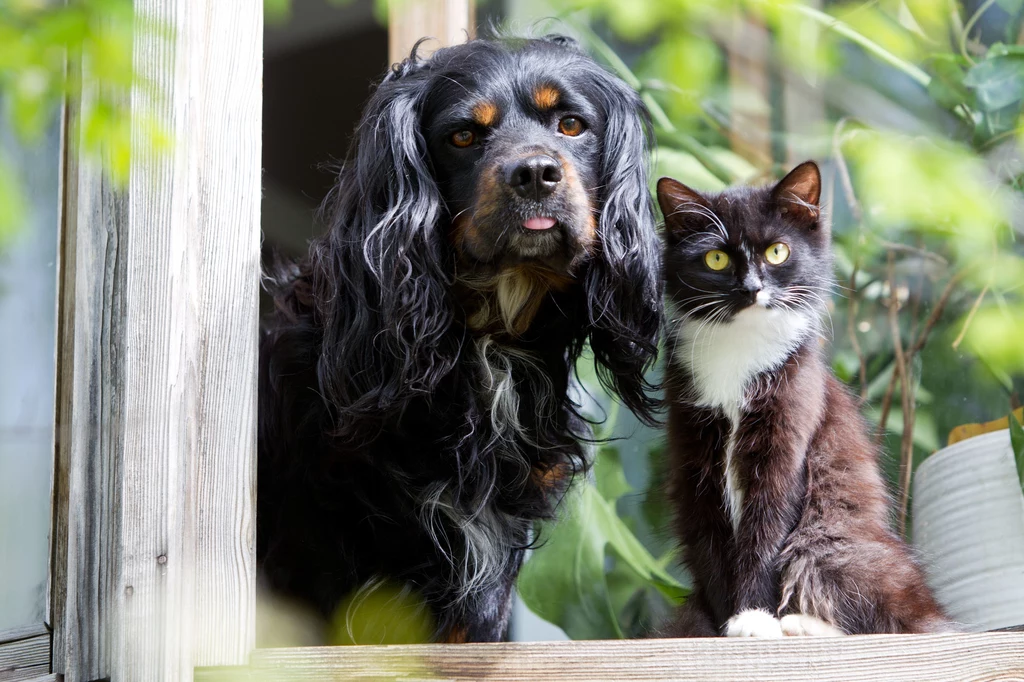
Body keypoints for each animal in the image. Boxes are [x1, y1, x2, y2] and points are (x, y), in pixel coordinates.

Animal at [655, 161, 950, 634]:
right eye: (716, 258)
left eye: (778, 252)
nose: (751, 288)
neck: (740, 350)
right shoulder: (694, 449)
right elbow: (709, 541)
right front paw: (721, 628)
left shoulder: (790, 426)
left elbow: (767, 533)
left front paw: (752, 618)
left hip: (833, 539)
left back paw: (798, 624)